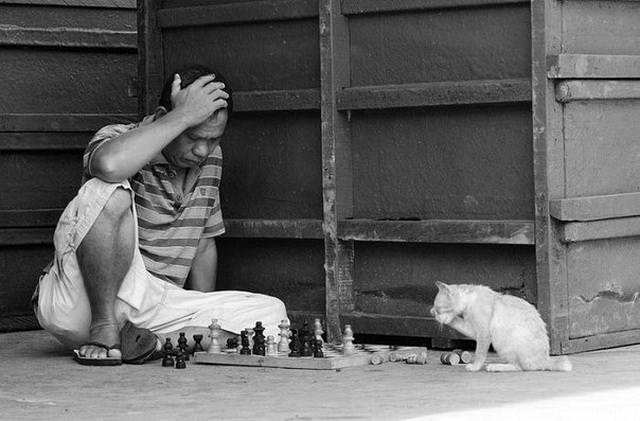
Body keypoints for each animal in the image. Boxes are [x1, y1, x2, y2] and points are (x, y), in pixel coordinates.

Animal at [430, 282, 568, 370]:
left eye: (439, 309)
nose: (433, 314)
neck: (469, 300)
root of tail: (545, 359)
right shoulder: (473, 330)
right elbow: (457, 321)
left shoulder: (483, 333)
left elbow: (479, 353)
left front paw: (475, 367)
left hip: (503, 343)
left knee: (520, 367)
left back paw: (495, 366)